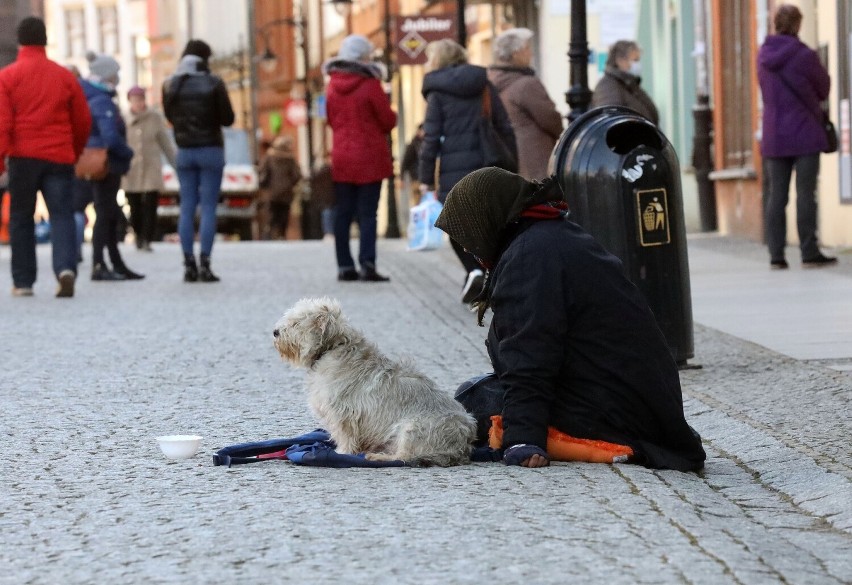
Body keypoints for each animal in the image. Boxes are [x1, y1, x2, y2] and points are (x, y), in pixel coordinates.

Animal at [272, 296, 476, 466]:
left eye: (296, 322)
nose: (275, 332)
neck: (332, 347)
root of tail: (464, 440)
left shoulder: (344, 413)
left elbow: (346, 436)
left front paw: (342, 452)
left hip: (411, 428)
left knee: (405, 458)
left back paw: (378, 457)